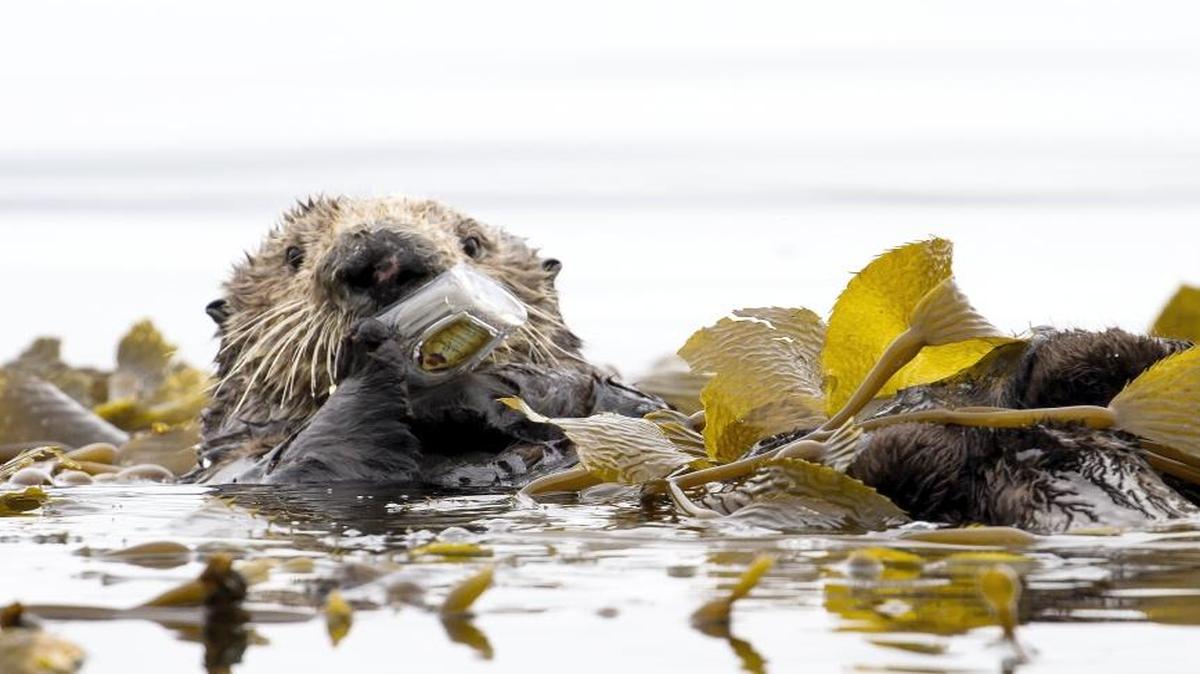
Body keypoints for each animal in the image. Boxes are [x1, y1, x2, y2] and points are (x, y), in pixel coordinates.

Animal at [191, 196, 663, 485]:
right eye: (292, 255)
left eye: (472, 243)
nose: (384, 259)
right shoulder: (240, 465)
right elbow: (310, 462)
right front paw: (374, 356)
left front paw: (516, 385)